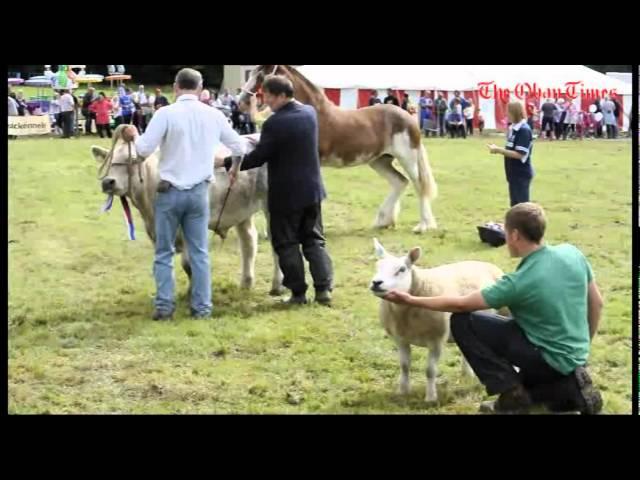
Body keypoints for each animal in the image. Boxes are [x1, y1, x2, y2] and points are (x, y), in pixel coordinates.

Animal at [240, 65, 440, 234]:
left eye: (261, 75)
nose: (242, 102)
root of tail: (408, 116)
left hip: (408, 158)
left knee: (419, 185)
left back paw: (423, 226)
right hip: (380, 160)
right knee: (399, 182)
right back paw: (383, 221)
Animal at [370, 238, 504, 404]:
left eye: (401, 269)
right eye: (377, 266)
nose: (376, 282)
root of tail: (482, 262)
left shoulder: (437, 340)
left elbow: (430, 371)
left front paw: (431, 398)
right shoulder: (400, 339)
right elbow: (404, 366)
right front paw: (403, 392)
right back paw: (467, 374)